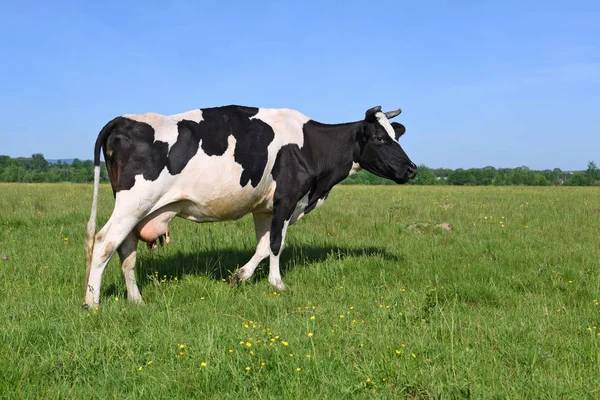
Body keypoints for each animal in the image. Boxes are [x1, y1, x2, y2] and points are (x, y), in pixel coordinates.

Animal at [83, 104, 418, 308]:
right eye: (379, 138)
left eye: (395, 136)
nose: (412, 169)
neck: (310, 146)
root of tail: (125, 119)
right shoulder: (287, 199)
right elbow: (276, 244)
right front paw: (277, 283)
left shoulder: (264, 208)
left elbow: (262, 246)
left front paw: (240, 277)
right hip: (134, 203)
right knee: (104, 242)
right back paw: (92, 303)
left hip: (134, 209)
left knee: (126, 250)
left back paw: (136, 299)